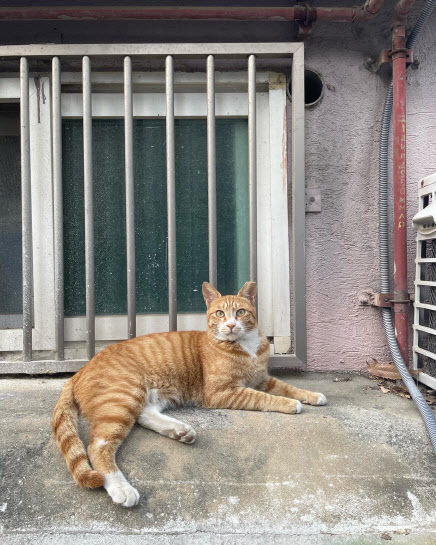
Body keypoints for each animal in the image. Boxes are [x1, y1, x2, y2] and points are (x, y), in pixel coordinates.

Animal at [52, 280, 328, 506]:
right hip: (124, 395)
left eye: (240, 312)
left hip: (145, 396)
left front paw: (313, 395)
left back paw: (179, 431)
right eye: (219, 313)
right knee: (98, 446)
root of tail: (79, 370)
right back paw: (121, 488)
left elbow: (288, 387)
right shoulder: (223, 392)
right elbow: (265, 398)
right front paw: (290, 404)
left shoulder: (261, 379)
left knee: (143, 415)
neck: (245, 346)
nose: (230, 325)